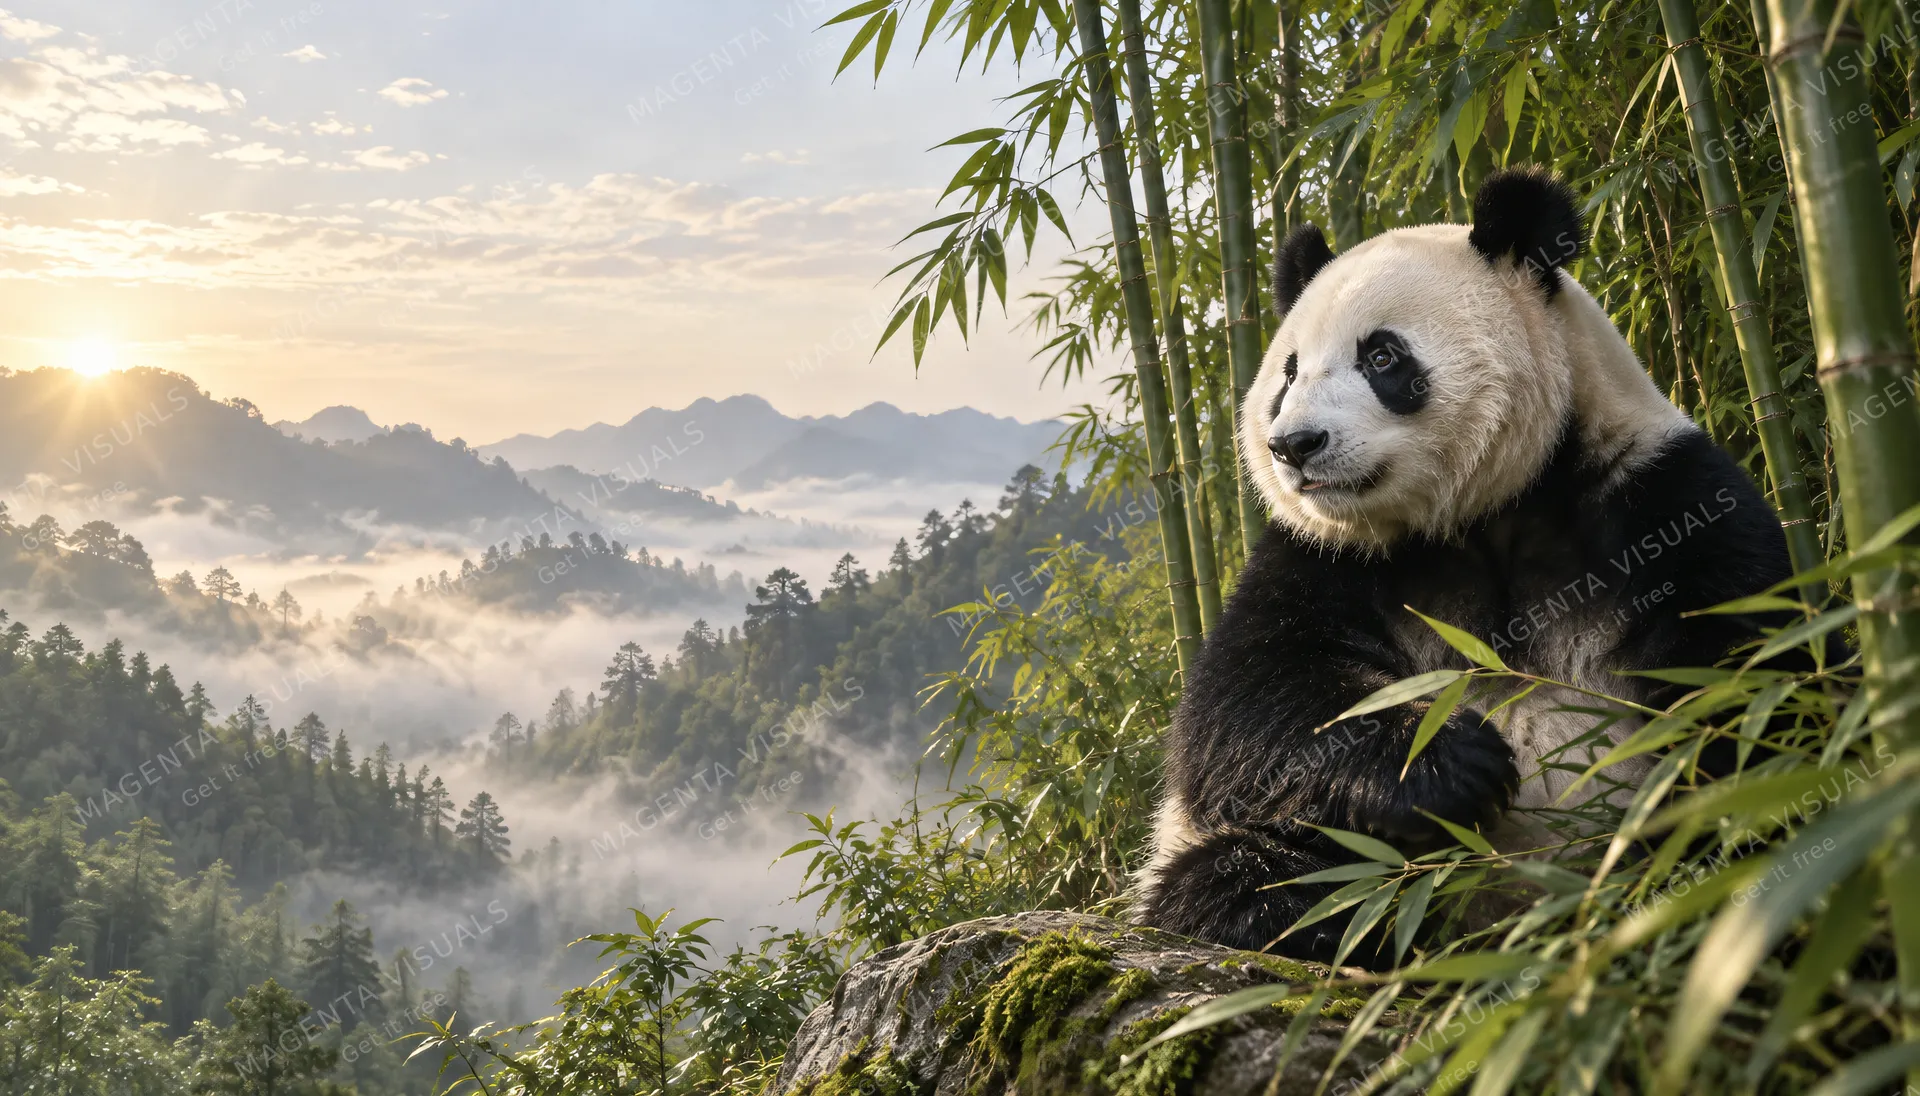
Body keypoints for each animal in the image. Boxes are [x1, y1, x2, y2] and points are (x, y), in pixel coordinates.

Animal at [1135, 168, 1796, 966]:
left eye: (1382, 357)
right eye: (1288, 373)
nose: (1293, 445)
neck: (1483, 514)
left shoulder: (1656, 499)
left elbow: (1752, 678)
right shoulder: (1322, 558)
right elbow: (1242, 706)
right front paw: (1454, 761)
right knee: (1246, 874)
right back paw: (1310, 918)